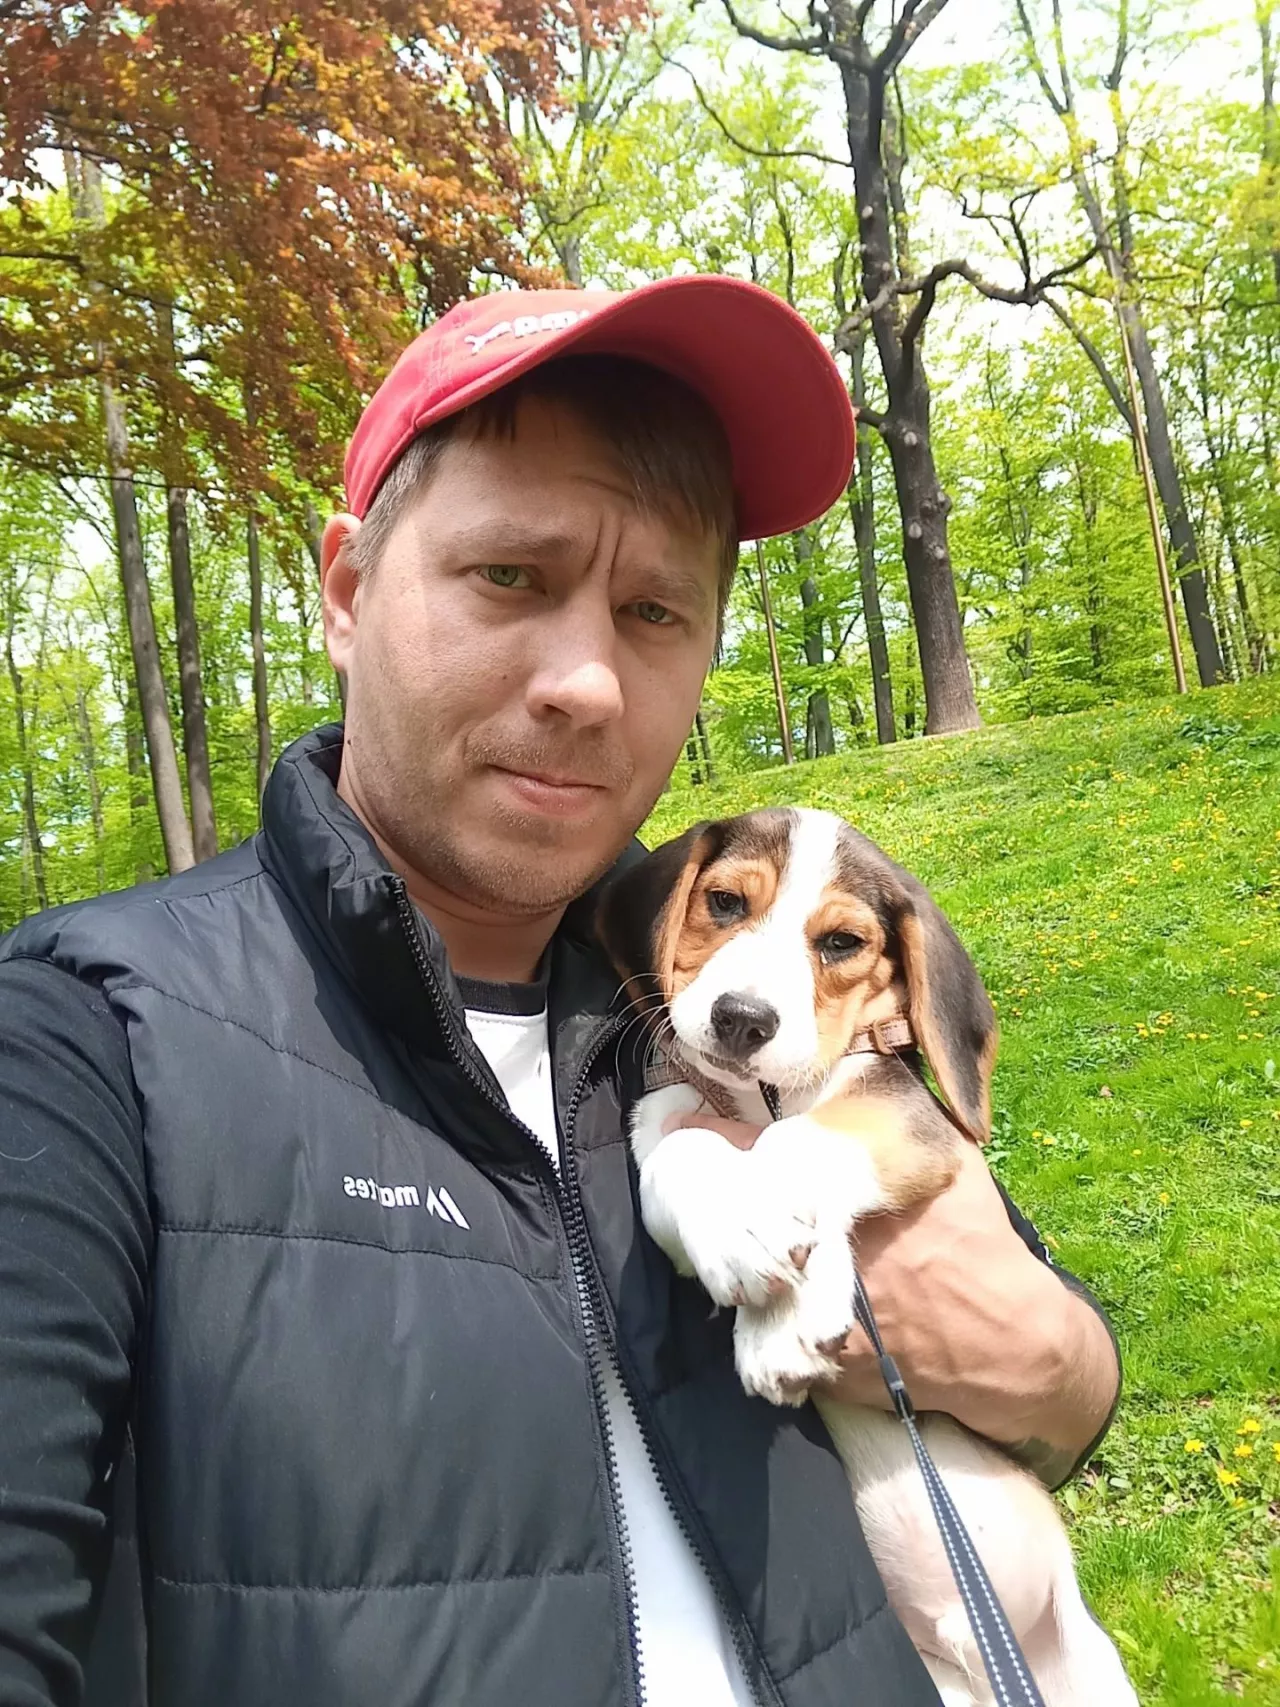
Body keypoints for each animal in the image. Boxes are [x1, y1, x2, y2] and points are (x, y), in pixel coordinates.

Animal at [597, 806, 1137, 1707]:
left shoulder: (904, 1112)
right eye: (723, 902)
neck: (763, 1094)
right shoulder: (664, 1108)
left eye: (842, 942)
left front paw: (784, 1318)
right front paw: (744, 1234)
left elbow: (793, 1140)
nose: (742, 1019)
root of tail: (975, 1650)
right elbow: (676, 1153)